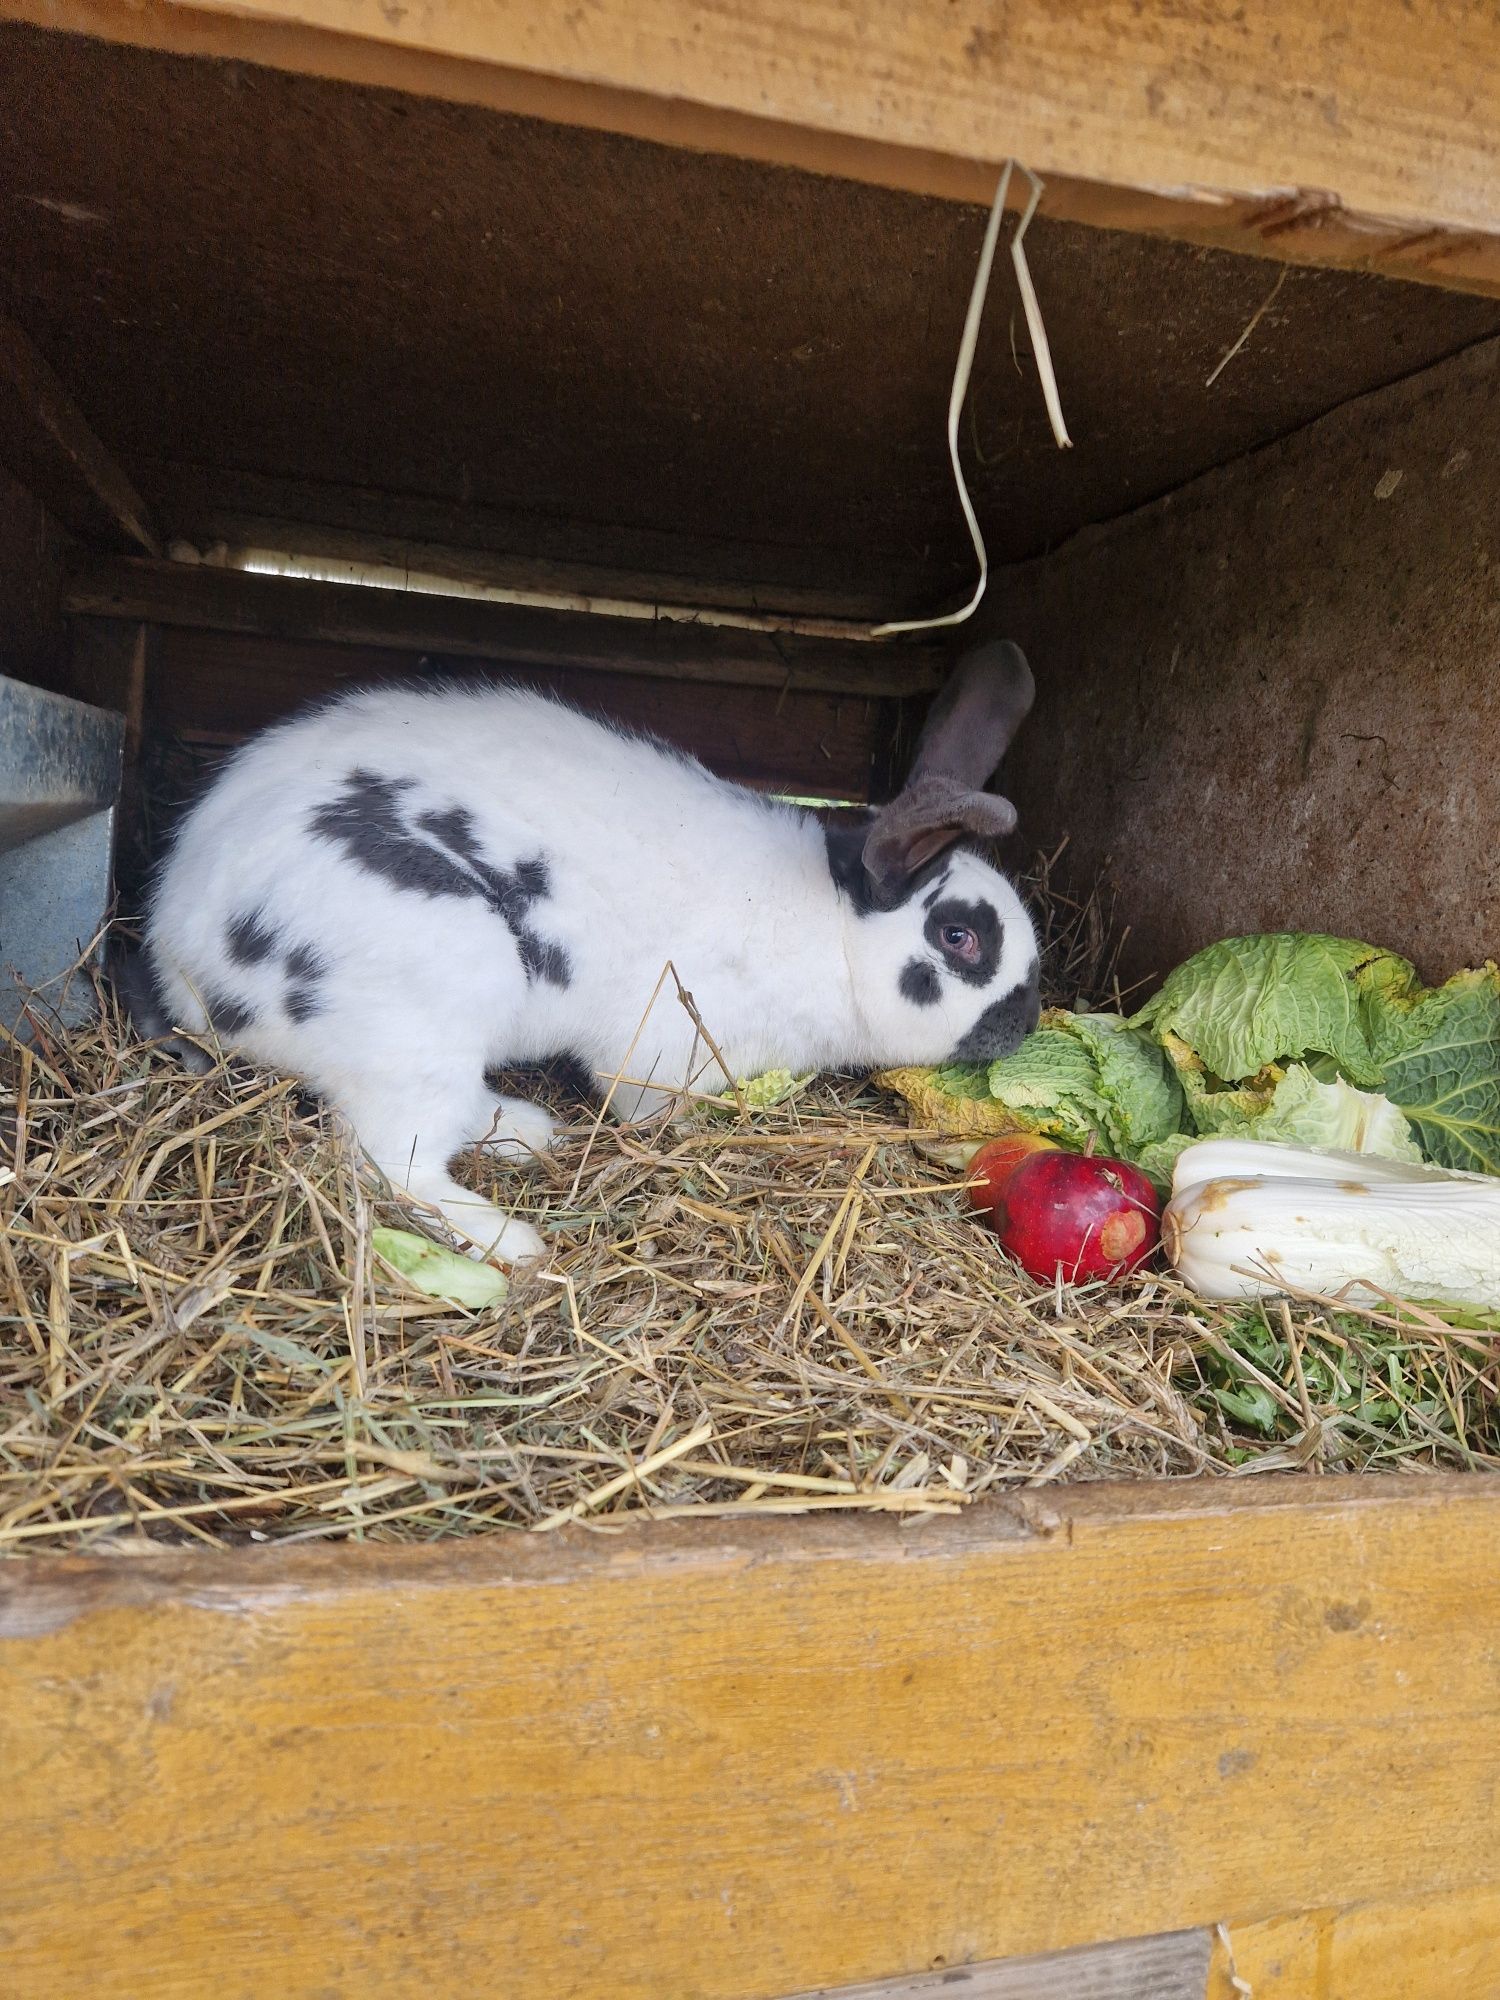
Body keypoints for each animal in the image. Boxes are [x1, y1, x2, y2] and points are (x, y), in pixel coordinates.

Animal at [132, 640, 1048, 1264]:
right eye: (959, 937)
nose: (1027, 1021)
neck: (832, 934)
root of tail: (179, 957)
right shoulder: (665, 1051)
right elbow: (646, 1105)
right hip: (429, 997)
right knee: (390, 1162)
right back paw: (512, 1242)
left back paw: (532, 1133)